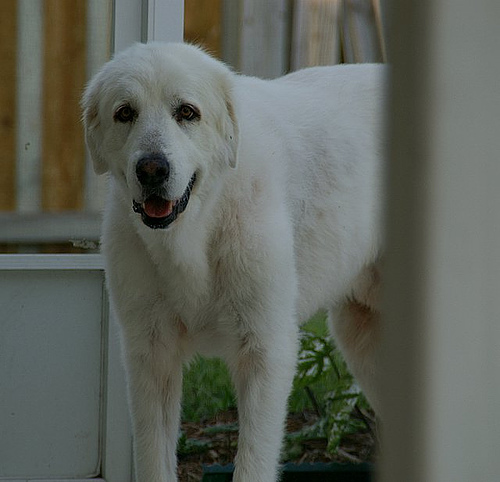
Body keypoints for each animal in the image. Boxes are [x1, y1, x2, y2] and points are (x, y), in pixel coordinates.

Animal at [82, 42, 385, 482]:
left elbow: (253, 462)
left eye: (187, 112)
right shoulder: (150, 356)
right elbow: (154, 459)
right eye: (125, 113)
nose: (152, 169)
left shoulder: (266, 351)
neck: (199, 229)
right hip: (361, 336)